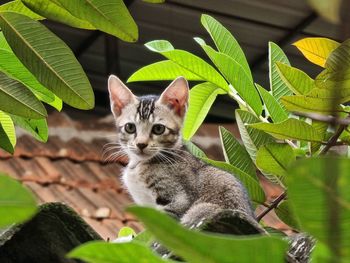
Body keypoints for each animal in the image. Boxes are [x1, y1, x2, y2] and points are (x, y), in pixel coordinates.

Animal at [108, 76, 264, 235]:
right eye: (130, 127)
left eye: (158, 129)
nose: (141, 144)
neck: (139, 165)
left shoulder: (178, 200)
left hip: (202, 210)